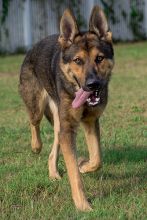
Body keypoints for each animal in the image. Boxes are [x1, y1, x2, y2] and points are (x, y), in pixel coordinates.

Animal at [19, 6, 114, 211]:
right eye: (78, 61)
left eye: (99, 58)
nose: (92, 85)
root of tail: (33, 47)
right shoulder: (68, 129)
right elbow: (74, 175)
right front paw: (83, 205)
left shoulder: (89, 122)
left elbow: (97, 159)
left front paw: (83, 164)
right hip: (37, 106)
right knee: (33, 123)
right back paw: (36, 146)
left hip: (58, 124)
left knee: (54, 145)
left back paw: (53, 173)